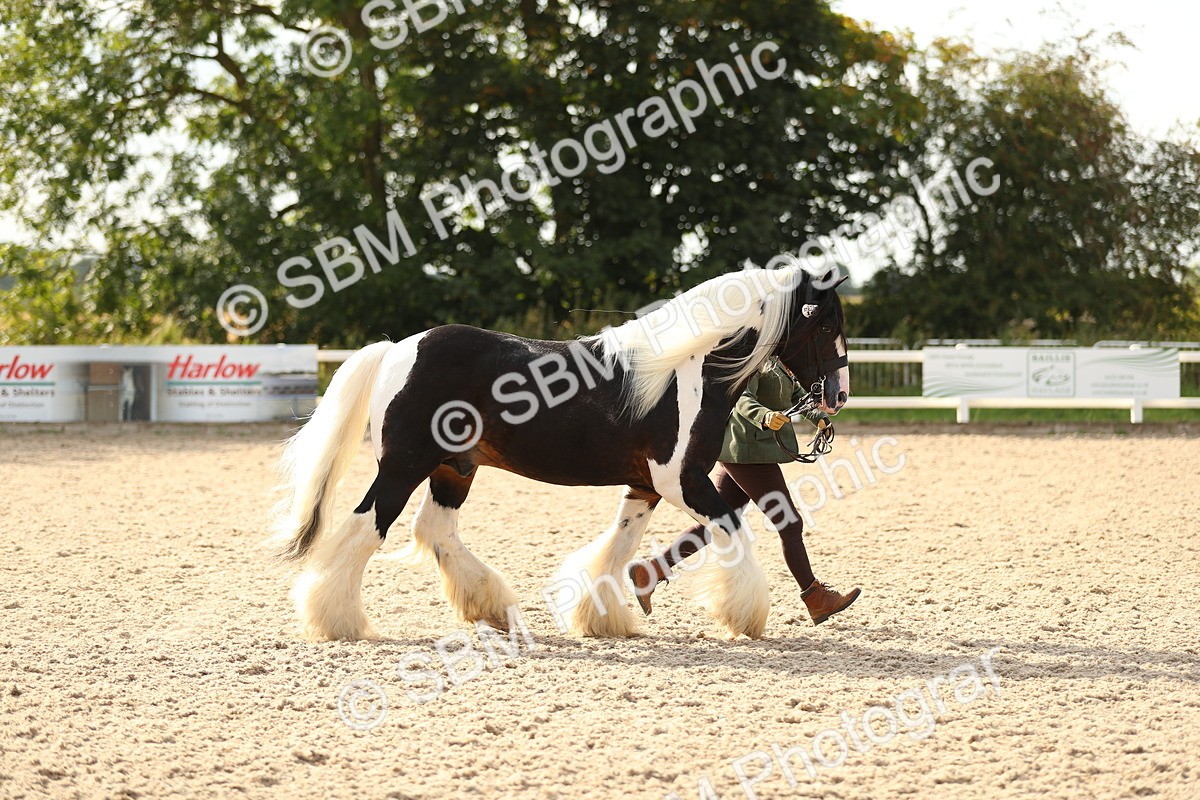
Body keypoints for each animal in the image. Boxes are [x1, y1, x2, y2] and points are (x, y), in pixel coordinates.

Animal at [271, 262, 851, 641]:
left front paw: (602, 617)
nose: (838, 395)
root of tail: (398, 349)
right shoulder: (681, 480)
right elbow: (732, 530)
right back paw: (336, 621)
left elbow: (618, 547)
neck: (686, 370)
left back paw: (496, 610)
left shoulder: (646, 486)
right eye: (825, 325)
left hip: (454, 468)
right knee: (365, 527)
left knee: (433, 531)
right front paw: (745, 616)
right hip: (404, 465)